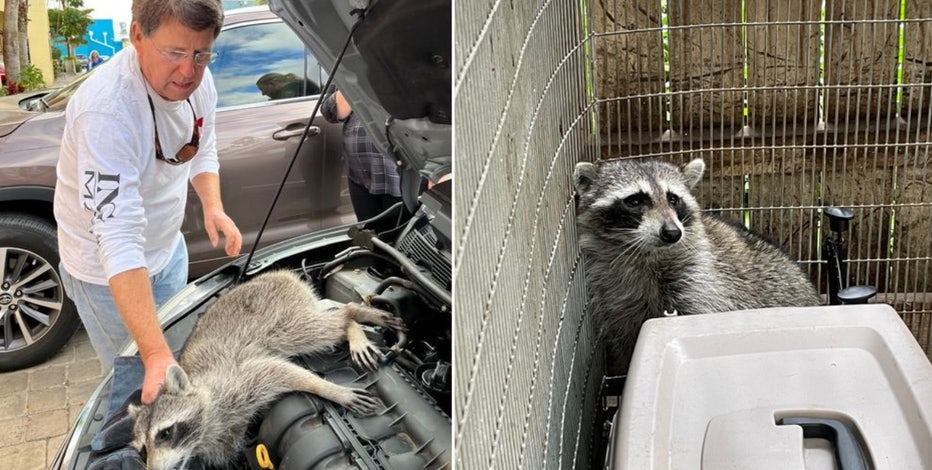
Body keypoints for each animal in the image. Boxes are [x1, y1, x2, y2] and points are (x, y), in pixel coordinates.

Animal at [130, 270, 406, 469]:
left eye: (165, 433)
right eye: (142, 450)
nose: (151, 469)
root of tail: (280, 273)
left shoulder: (235, 378)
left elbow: (281, 371)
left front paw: (330, 389)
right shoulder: (225, 437)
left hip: (280, 318)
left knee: (319, 327)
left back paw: (353, 317)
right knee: (325, 311)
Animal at [573, 158, 821, 374]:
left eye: (673, 199)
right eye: (634, 200)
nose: (672, 232)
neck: (645, 255)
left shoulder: (701, 280)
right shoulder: (615, 297)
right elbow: (625, 342)